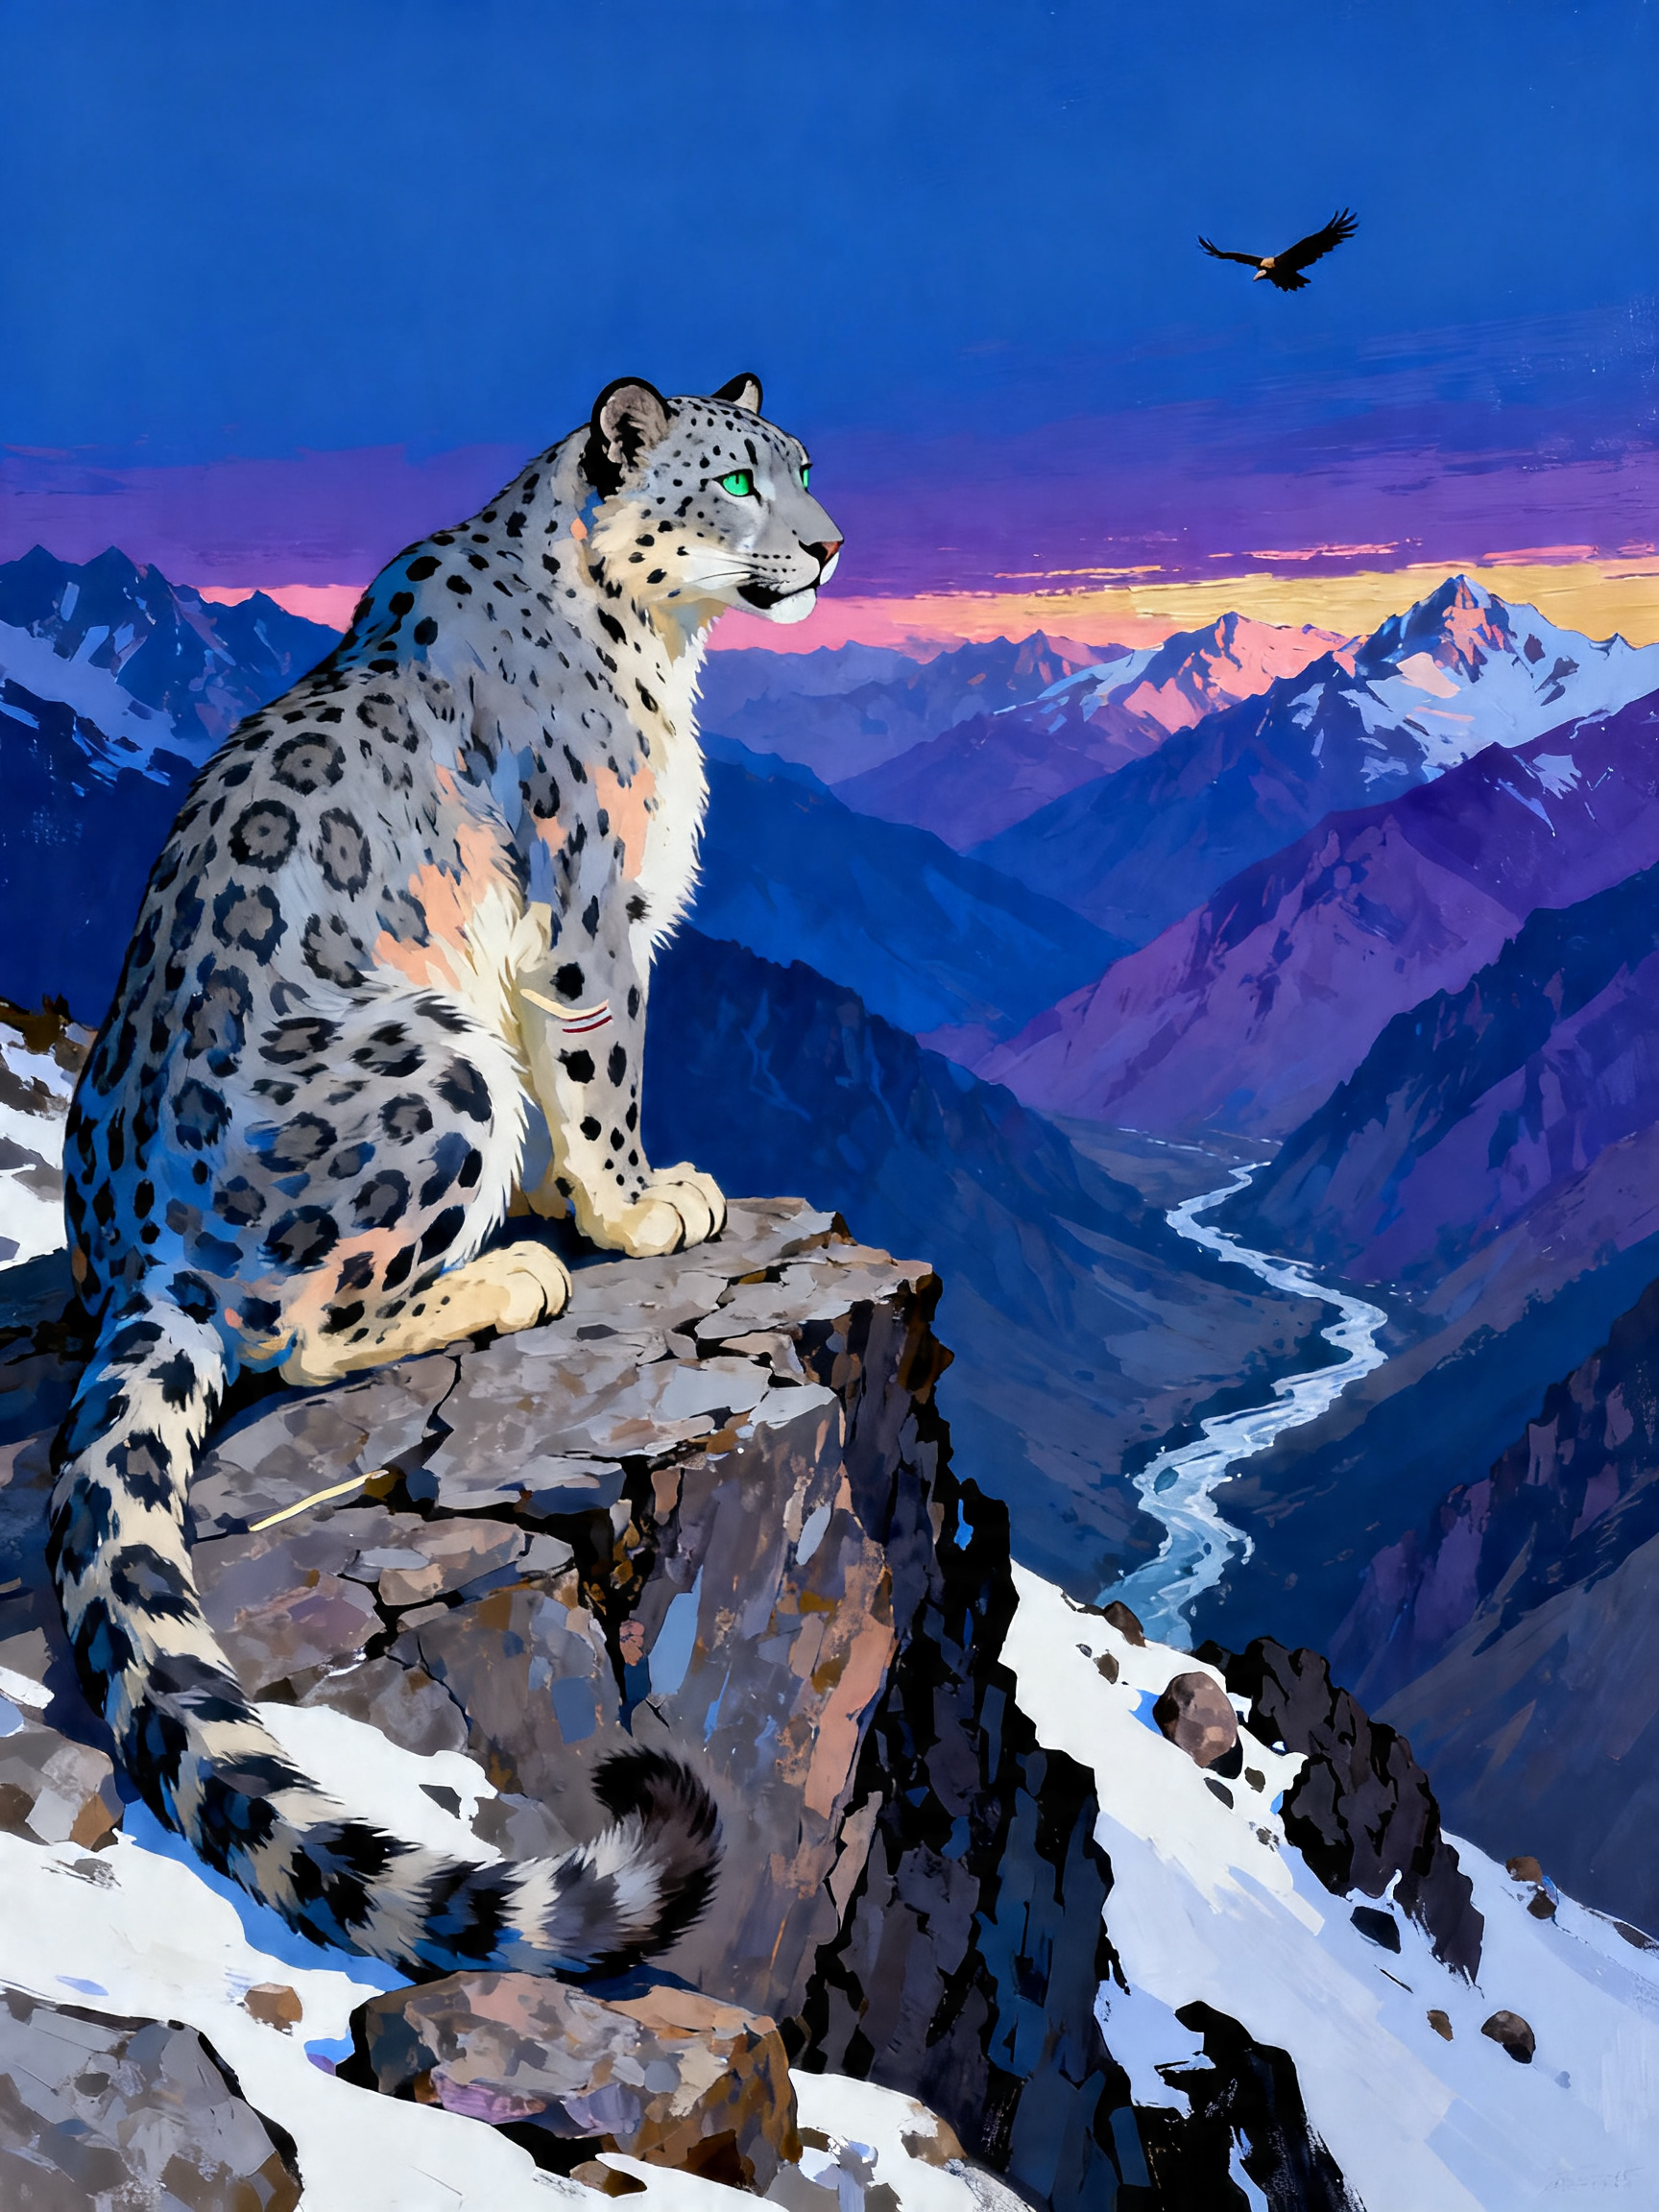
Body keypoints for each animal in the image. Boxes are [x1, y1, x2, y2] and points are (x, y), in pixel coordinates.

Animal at [47, 372, 843, 1978]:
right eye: (735, 480)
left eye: (799, 464)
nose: (831, 545)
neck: (665, 656)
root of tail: (142, 1258)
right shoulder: (593, 920)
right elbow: (600, 1073)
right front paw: (634, 1208)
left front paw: (573, 1197)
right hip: (435, 1060)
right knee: (300, 1333)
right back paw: (507, 1277)